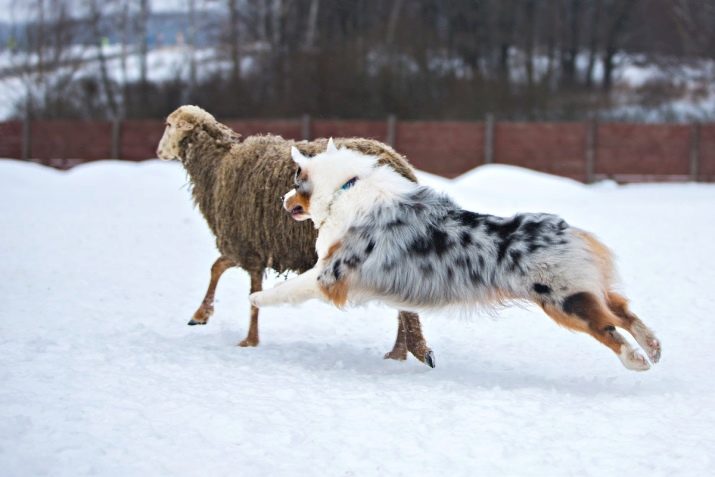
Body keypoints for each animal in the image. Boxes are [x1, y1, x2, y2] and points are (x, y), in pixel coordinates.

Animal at [157, 105, 434, 364]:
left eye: (170, 125)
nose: (159, 152)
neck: (216, 169)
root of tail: (403, 165)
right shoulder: (252, 246)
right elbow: (224, 271)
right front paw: (214, 321)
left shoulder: (245, 244)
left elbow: (228, 276)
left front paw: (240, 336)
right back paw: (400, 352)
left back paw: (412, 350)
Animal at [249, 139, 664, 370]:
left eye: (295, 181)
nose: (282, 199)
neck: (345, 187)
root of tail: (569, 230)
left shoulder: (331, 273)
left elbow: (289, 290)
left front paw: (257, 298)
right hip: (579, 291)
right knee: (621, 309)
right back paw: (654, 347)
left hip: (564, 301)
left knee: (608, 326)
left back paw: (636, 361)